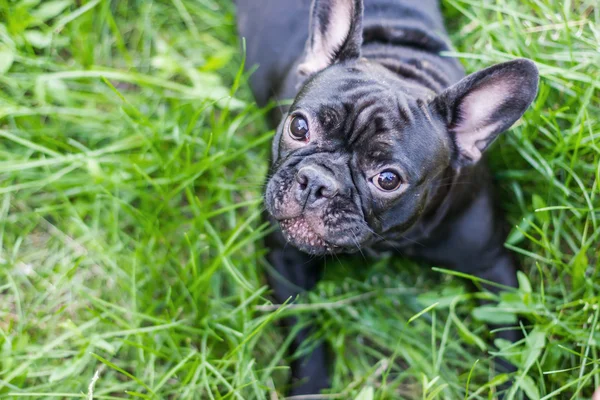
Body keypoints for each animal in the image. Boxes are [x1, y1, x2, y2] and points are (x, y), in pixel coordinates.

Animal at [234, 0, 540, 394]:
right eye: (298, 126)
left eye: (388, 179)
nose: (317, 182)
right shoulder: (283, 258)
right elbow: (302, 331)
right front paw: (309, 389)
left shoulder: (492, 266)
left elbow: (509, 340)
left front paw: (507, 387)